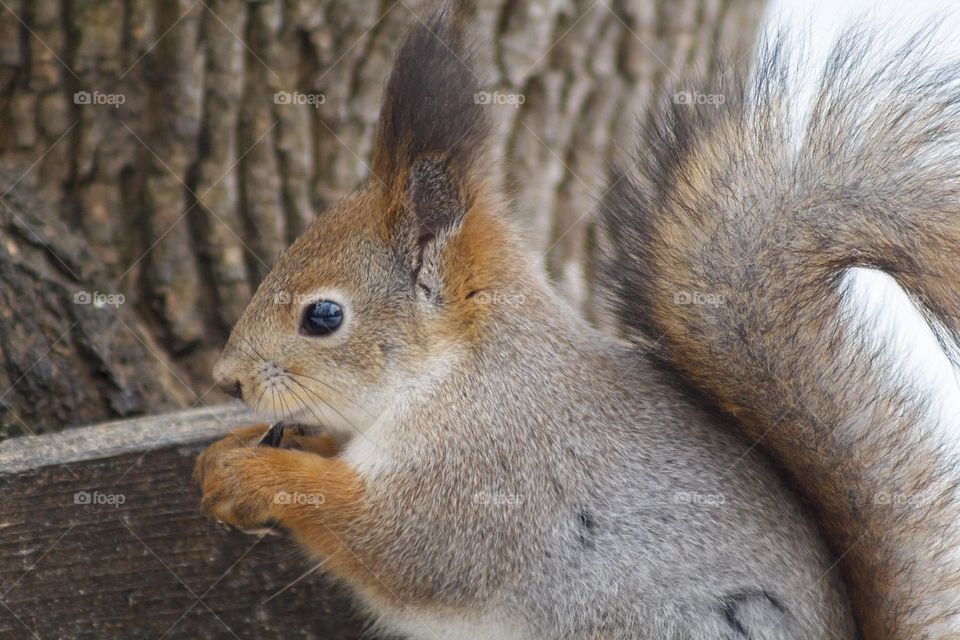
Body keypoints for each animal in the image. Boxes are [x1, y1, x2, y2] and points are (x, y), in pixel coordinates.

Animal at [193, 5, 960, 639]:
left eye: (323, 316)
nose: (227, 380)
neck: (455, 370)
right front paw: (234, 448)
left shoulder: (490, 470)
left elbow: (394, 542)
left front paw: (253, 474)